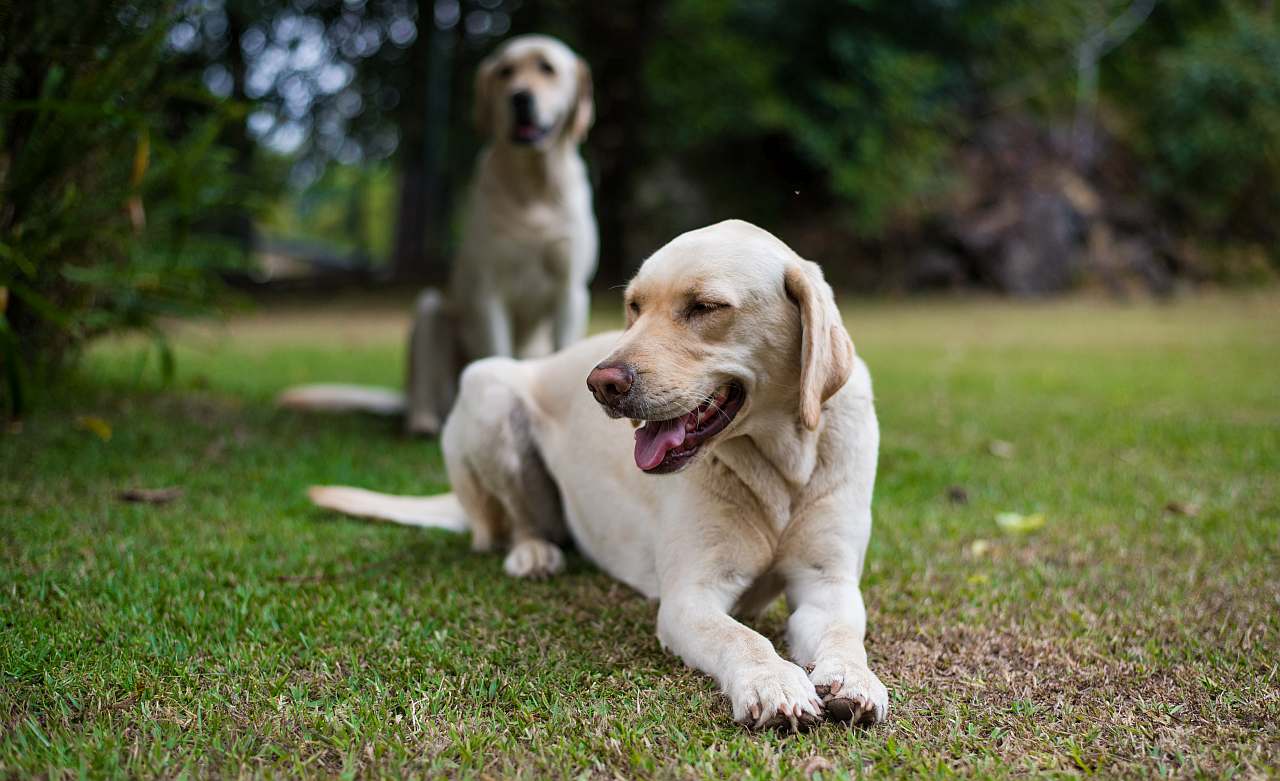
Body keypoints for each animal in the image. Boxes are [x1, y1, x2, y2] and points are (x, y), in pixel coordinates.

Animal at [279, 36, 593, 435]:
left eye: (547, 68)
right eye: (505, 72)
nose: (519, 97)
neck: (532, 187)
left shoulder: (570, 291)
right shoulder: (488, 292)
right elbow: (495, 349)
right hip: (430, 312)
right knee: (427, 395)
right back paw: (425, 423)